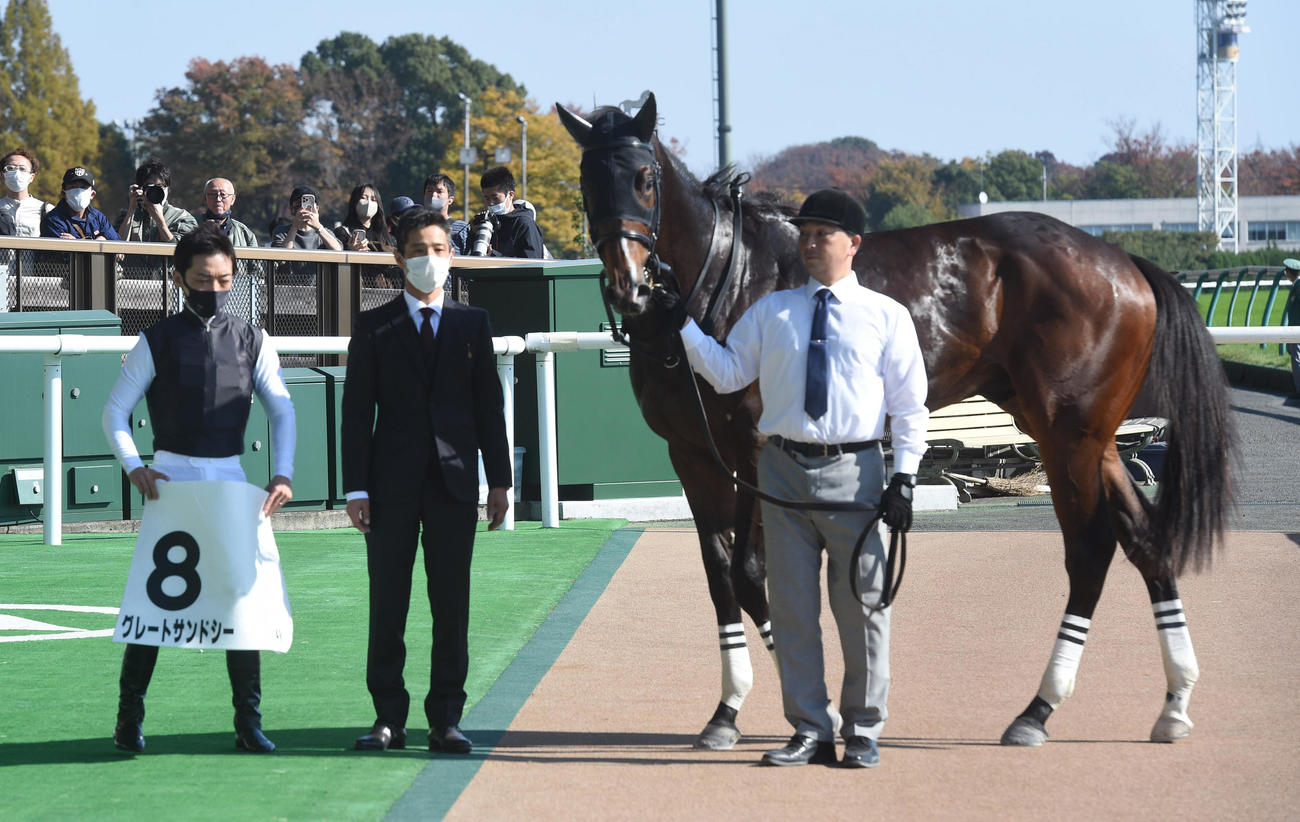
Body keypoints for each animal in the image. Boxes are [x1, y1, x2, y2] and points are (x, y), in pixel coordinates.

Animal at [555, 93, 1236, 750]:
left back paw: (1038, 711)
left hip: (1069, 436)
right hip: (1090, 438)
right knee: (1144, 540)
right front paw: (727, 710)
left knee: (1091, 549)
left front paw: (808, 707)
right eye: (587, 181)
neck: (726, 280)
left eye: (645, 178)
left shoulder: (751, 449)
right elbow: (722, 575)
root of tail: (1122, 259)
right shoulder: (692, 454)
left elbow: (752, 574)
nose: (628, 285)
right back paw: (1174, 703)